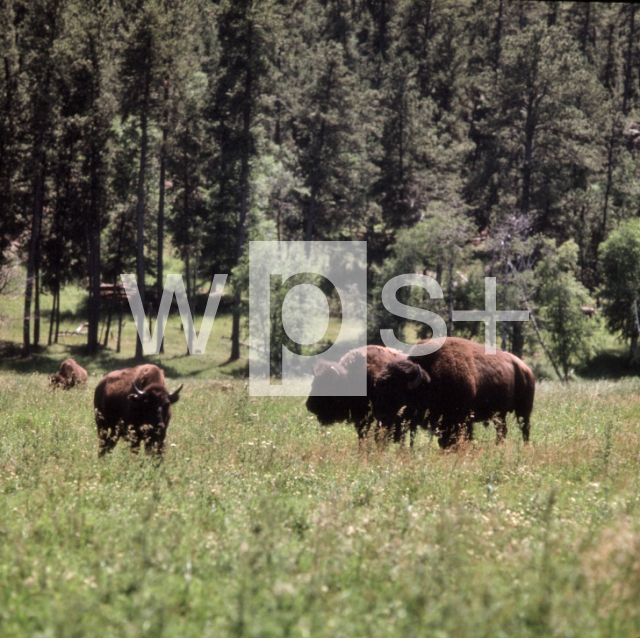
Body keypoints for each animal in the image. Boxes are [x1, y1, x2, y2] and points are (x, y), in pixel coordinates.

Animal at [370, 340, 536, 450]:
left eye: (397, 393)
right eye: (378, 390)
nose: (380, 415)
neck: (430, 380)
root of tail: (526, 369)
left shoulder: (460, 419)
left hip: (524, 410)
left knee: (525, 428)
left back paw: (525, 447)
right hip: (499, 414)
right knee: (502, 430)